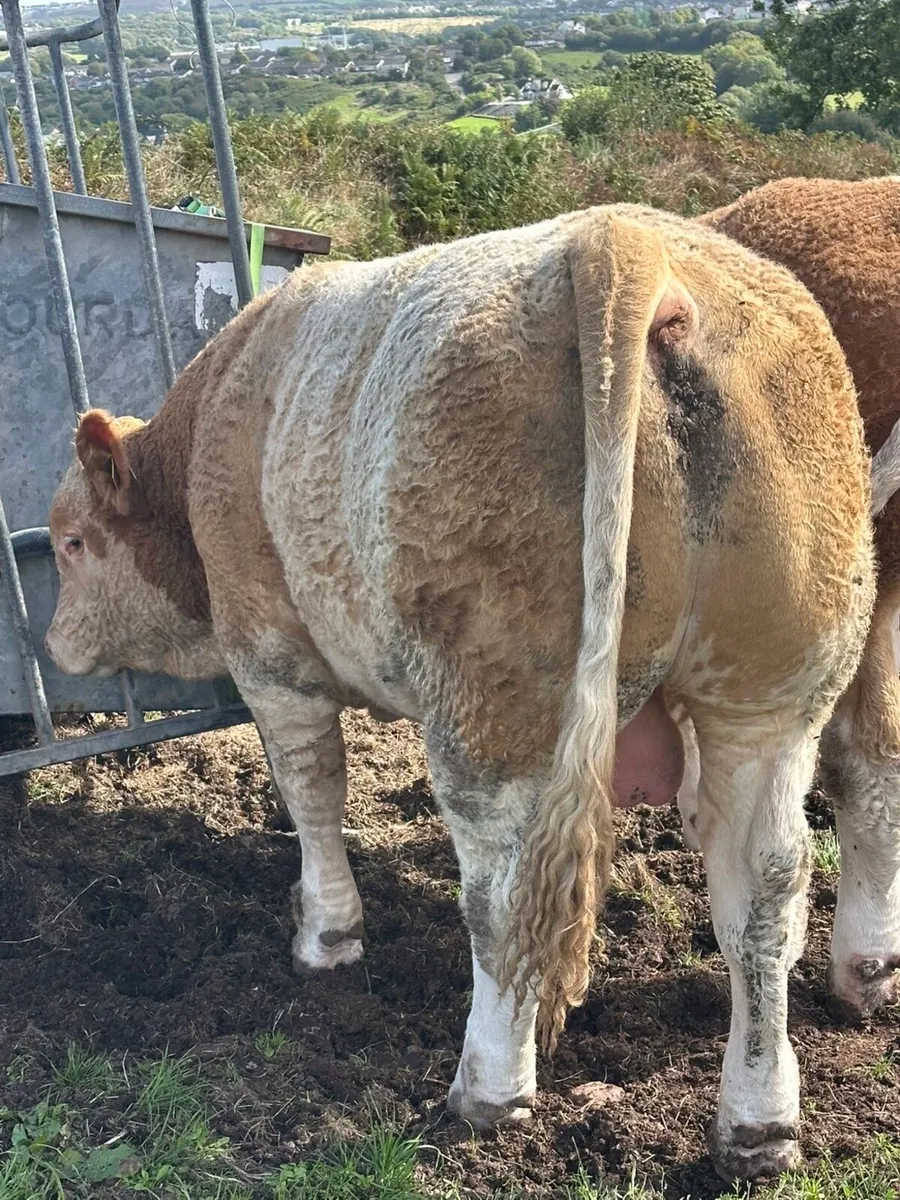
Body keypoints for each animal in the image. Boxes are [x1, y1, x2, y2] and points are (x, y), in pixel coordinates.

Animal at [44, 204, 875, 1182]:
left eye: (69, 542)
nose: (53, 643)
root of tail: (627, 240)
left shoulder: (271, 656)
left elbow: (312, 791)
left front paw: (326, 938)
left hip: (493, 698)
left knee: (502, 893)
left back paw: (488, 1085)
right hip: (774, 693)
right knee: (766, 887)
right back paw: (758, 1122)